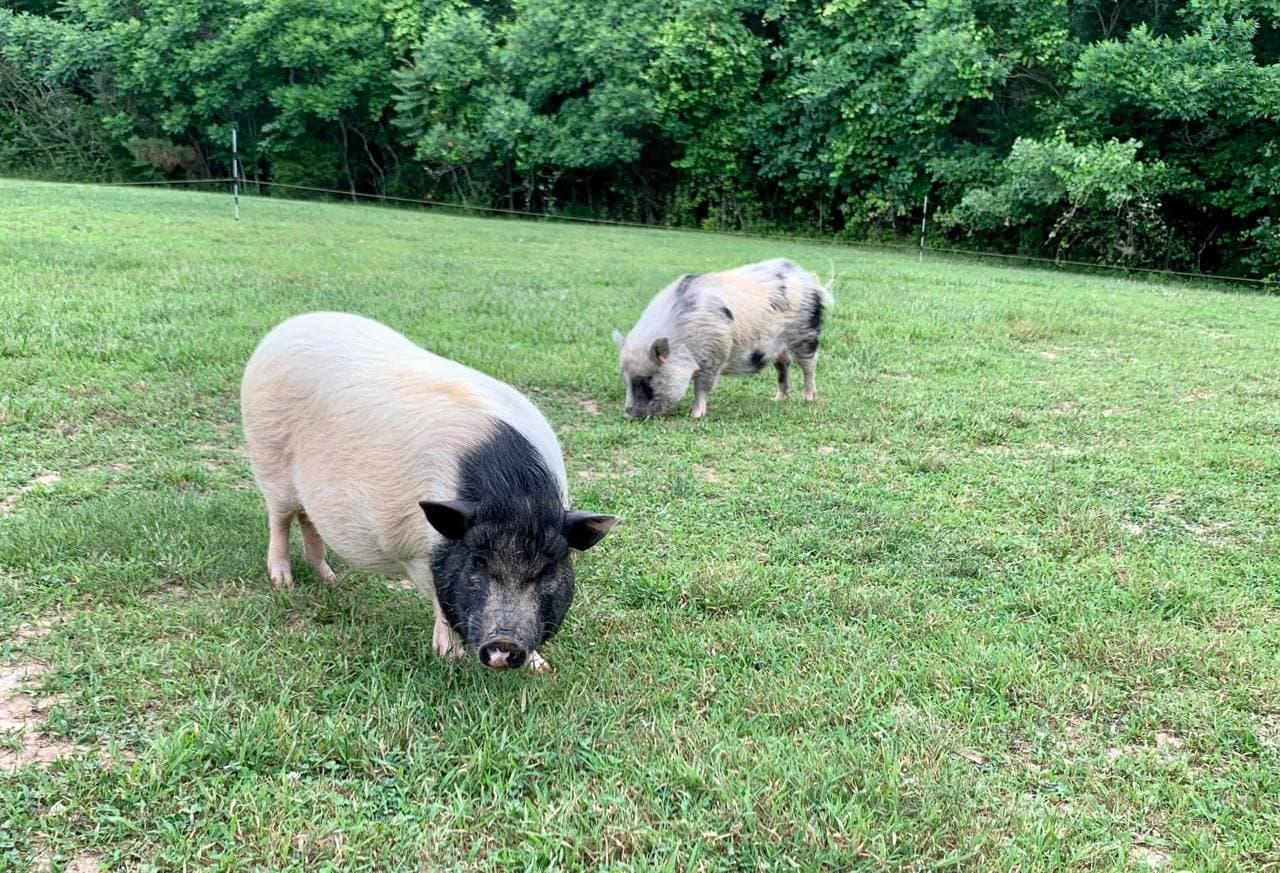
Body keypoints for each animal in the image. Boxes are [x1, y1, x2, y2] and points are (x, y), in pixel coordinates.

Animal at [240, 312, 618, 672]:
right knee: (280, 520)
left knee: (308, 520)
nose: (505, 644)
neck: (515, 495)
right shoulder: (417, 552)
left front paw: (543, 668)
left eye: (547, 570)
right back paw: (283, 582)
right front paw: (449, 657)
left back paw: (330, 579)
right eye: (477, 561)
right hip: (269, 460)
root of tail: (283, 330)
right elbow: (439, 599)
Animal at [611, 258, 834, 419]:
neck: (682, 340)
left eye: (646, 379)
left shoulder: (715, 353)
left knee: (809, 367)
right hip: (777, 345)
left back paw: (807, 399)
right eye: (625, 379)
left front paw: (695, 416)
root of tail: (810, 279)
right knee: (783, 366)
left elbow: (702, 387)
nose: (627, 415)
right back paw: (777, 399)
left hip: (807, 332)